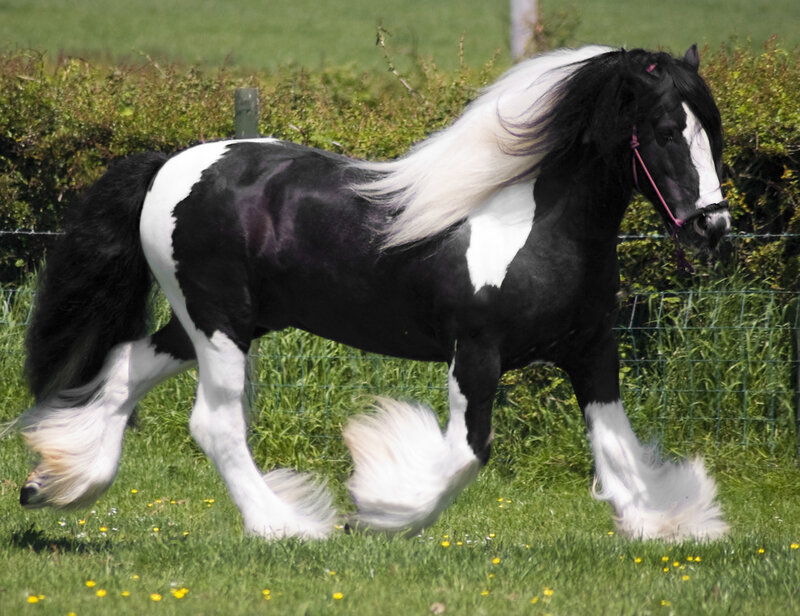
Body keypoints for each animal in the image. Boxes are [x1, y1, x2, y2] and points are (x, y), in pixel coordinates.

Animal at [10, 44, 732, 541]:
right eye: (667, 130)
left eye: (713, 131)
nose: (714, 227)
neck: (532, 228)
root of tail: (169, 166)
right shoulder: (477, 354)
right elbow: (467, 454)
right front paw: (381, 510)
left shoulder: (592, 352)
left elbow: (616, 448)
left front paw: (662, 524)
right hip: (218, 322)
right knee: (214, 424)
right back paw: (285, 526)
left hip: (218, 322)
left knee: (121, 371)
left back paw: (55, 484)